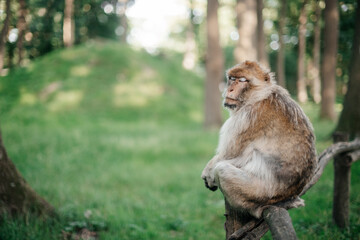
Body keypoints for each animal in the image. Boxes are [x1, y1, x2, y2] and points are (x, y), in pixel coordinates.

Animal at [201, 60, 316, 218]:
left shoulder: (247, 117)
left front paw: (208, 171)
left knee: (223, 170)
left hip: (261, 191)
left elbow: (228, 155)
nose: (229, 89)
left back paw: (253, 209)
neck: (260, 96)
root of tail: (286, 197)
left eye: (242, 80)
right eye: (232, 78)